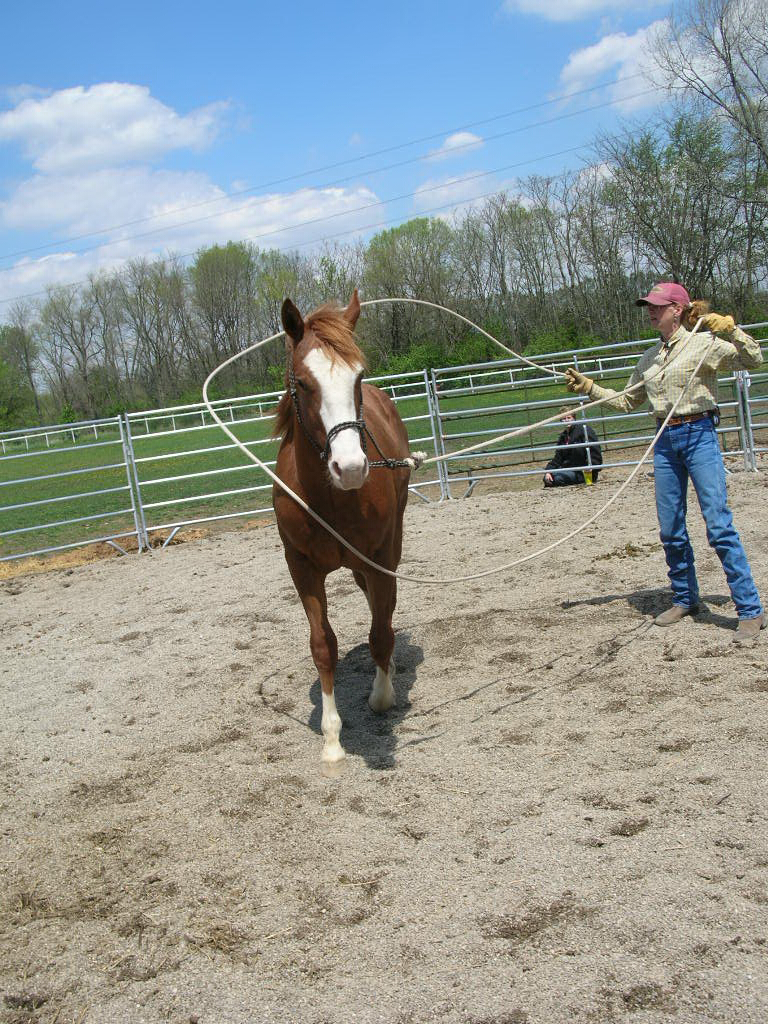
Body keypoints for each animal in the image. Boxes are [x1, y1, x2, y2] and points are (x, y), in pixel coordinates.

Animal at [272, 292, 415, 765]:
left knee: (384, 610)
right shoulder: (301, 568)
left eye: (359, 375)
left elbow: (380, 631)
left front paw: (381, 696)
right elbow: (323, 646)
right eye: (302, 383)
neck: (329, 497)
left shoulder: (380, 556)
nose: (350, 467)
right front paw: (332, 738)